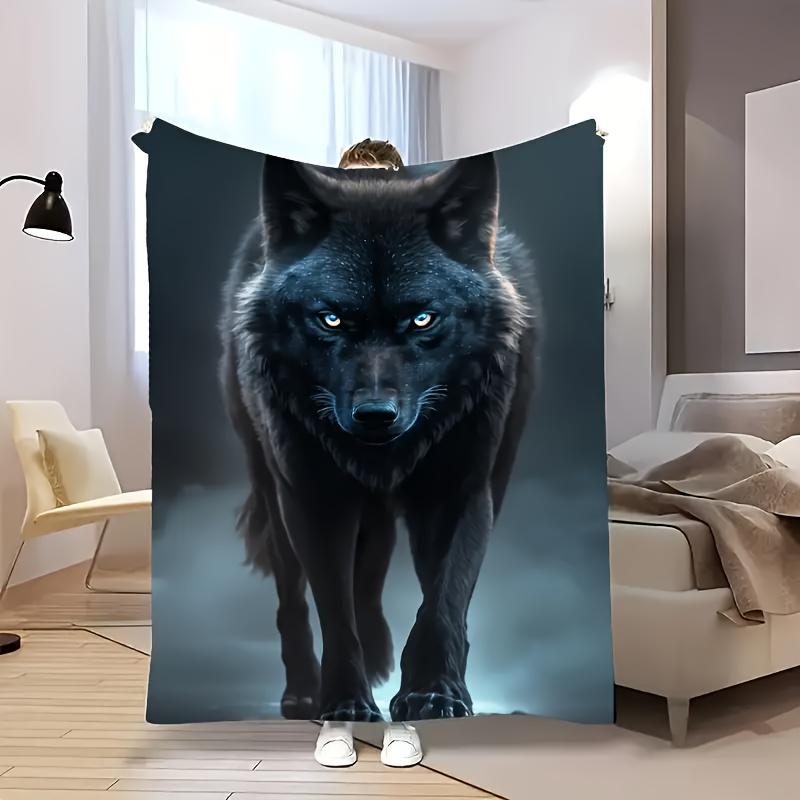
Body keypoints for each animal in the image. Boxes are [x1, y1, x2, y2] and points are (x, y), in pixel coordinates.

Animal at [219, 152, 538, 722]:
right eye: (330, 319)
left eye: (422, 318)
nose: (374, 415)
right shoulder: (314, 500)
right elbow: (334, 610)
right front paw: (345, 702)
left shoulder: (460, 494)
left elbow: (443, 599)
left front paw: (434, 692)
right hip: (273, 491)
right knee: (295, 596)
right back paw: (305, 690)